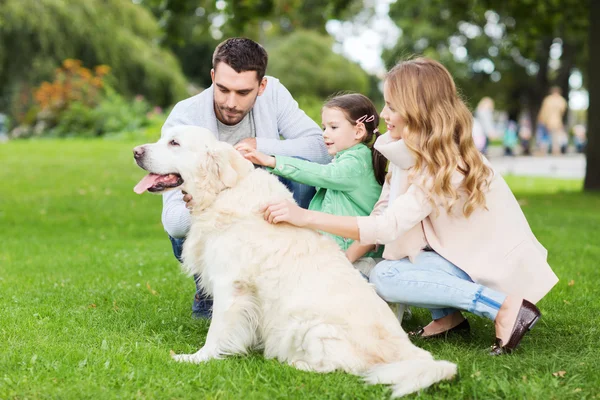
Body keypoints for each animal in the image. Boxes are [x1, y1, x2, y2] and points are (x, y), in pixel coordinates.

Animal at [134, 126, 458, 398]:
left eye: (174, 143)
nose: (136, 152)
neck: (222, 192)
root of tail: (406, 351)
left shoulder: (230, 285)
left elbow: (218, 330)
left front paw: (197, 358)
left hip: (308, 325)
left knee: (341, 368)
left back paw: (293, 363)